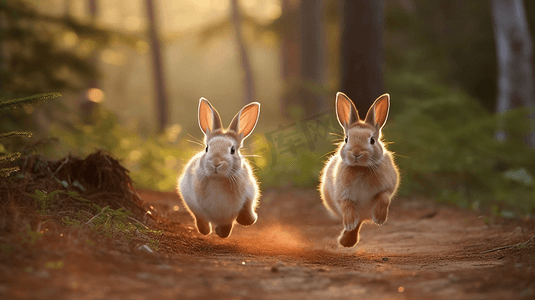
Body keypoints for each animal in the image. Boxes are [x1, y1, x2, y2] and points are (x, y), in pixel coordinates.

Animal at [179, 98, 260, 239]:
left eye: (232, 150)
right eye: (207, 148)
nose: (216, 163)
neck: (218, 181)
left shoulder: (250, 192)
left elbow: (246, 213)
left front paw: (252, 219)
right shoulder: (189, 197)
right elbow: (199, 216)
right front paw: (205, 230)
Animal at [320, 92, 400, 247]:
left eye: (372, 140)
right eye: (346, 139)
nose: (356, 152)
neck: (360, 168)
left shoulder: (386, 188)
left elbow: (384, 198)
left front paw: (379, 219)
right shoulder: (343, 195)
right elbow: (347, 207)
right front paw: (350, 224)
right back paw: (346, 240)